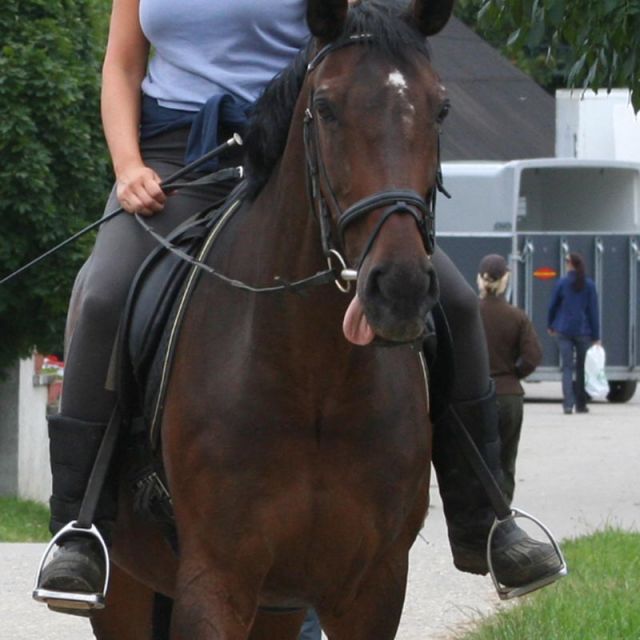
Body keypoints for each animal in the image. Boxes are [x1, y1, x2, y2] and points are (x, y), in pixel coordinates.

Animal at [91, 2, 456, 636]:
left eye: (439, 108)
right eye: (326, 108)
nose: (401, 288)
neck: (315, 380)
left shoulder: (374, 588)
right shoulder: (216, 582)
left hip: (277, 608)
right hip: (126, 593)